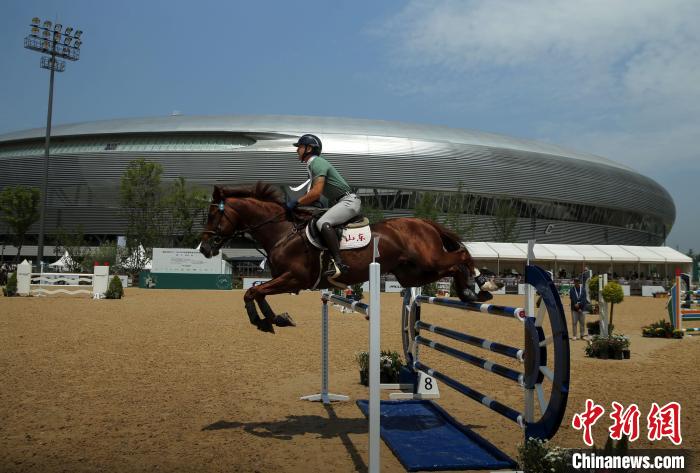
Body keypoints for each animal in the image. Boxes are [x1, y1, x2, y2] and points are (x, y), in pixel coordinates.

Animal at [200, 181, 500, 332]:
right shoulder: (285, 280)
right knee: (452, 268)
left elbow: (253, 291)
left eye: (213, 214)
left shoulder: (294, 279)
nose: (204, 248)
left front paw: (263, 321)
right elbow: (256, 292)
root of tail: (423, 221)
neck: (282, 231)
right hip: (413, 273)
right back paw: (470, 293)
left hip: (429, 260)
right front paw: (275, 319)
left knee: (460, 254)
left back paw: (483, 285)